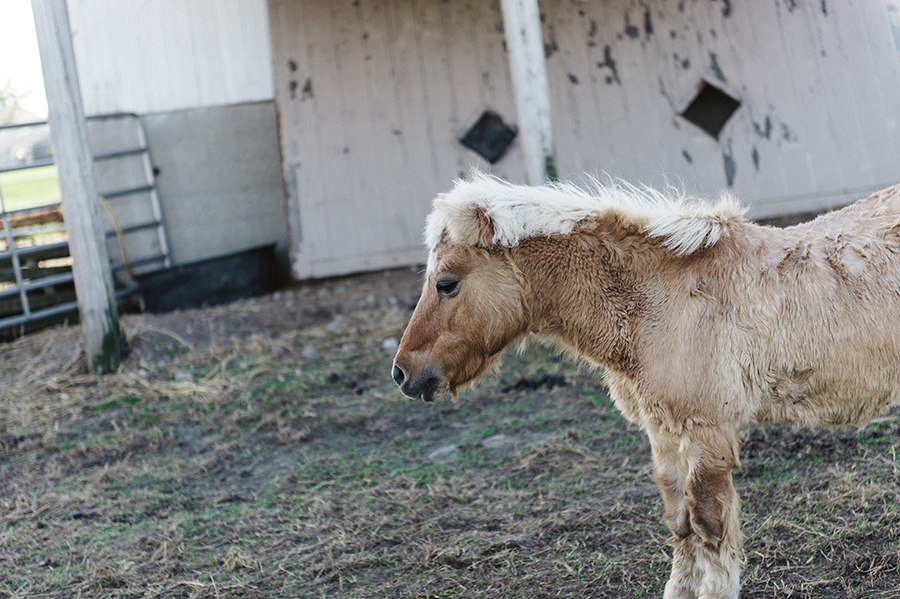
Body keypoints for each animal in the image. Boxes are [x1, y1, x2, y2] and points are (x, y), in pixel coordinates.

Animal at [391, 173, 900, 599]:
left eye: (447, 283)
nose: (403, 373)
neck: (656, 301)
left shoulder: (707, 431)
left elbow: (709, 521)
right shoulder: (662, 431)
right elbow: (679, 519)